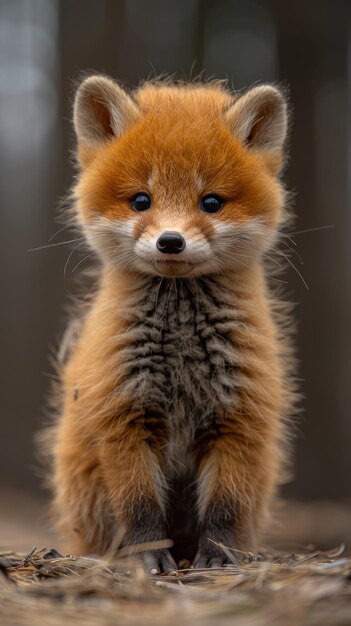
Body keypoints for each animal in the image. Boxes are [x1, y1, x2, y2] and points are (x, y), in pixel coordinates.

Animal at [45, 74, 296, 572]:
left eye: (212, 202)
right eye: (141, 200)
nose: (171, 241)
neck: (181, 351)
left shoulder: (238, 415)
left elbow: (224, 508)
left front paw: (217, 560)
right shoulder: (123, 412)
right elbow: (139, 505)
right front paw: (148, 560)